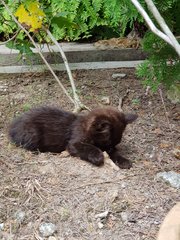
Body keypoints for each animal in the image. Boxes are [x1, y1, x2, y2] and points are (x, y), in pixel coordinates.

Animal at [8, 107, 138, 169]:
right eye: (107, 142)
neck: (84, 126)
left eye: (114, 144)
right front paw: (98, 156)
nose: (110, 149)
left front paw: (123, 160)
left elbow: (115, 154)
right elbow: (88, 147)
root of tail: (13, 126)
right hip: (32, 133)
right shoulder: (73, 144)